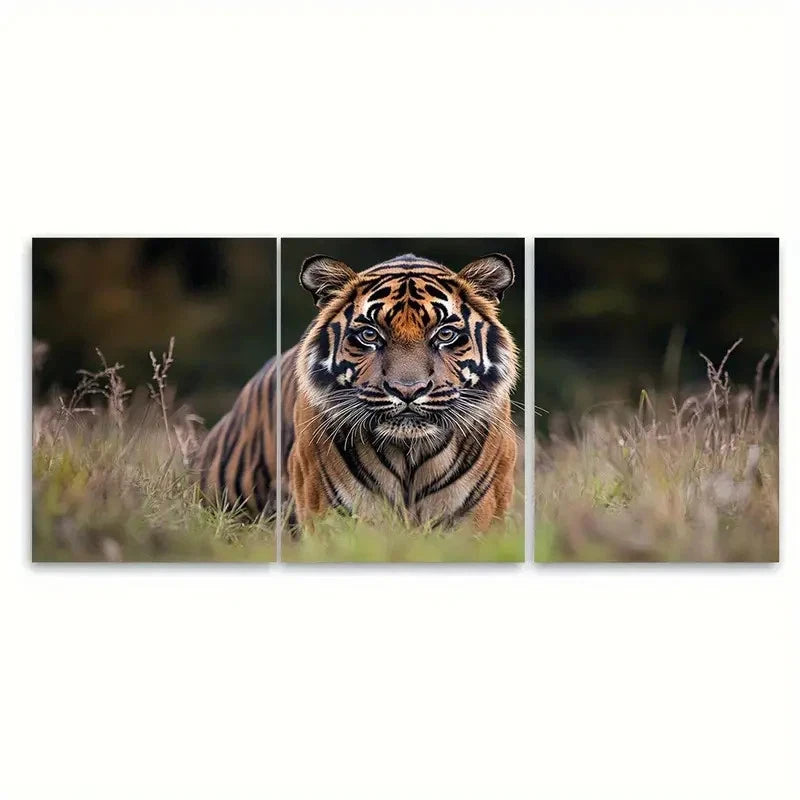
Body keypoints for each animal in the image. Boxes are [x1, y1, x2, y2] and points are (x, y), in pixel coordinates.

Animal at [195, 252, 519, 531]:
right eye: (369, 335)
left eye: (445, 334)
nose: (408, 390)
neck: (409, 457)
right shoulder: (330, 511)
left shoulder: (478, 514)